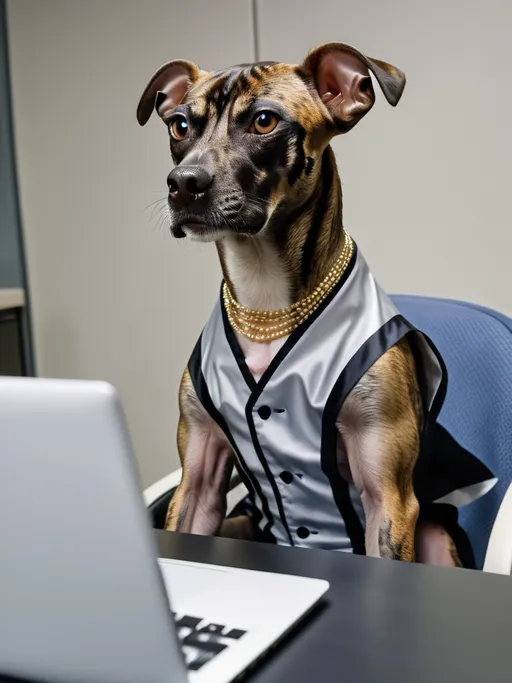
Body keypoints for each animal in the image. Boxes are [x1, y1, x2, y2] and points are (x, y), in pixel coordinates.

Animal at [138, 41, 494, 568]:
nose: (183, 183)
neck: (266, 300)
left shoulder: (388, 499)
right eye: (180, 125)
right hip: (241, 521)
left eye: (264, 120)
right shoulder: (196, 484)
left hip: (433, 534)